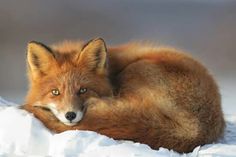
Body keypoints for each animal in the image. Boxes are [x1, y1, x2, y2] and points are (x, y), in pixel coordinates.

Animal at [22, 37, 225, 152]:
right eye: (55, 92)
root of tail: (196, 131)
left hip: (135, 69)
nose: (70, 115)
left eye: (83, 90)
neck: (110, 70)